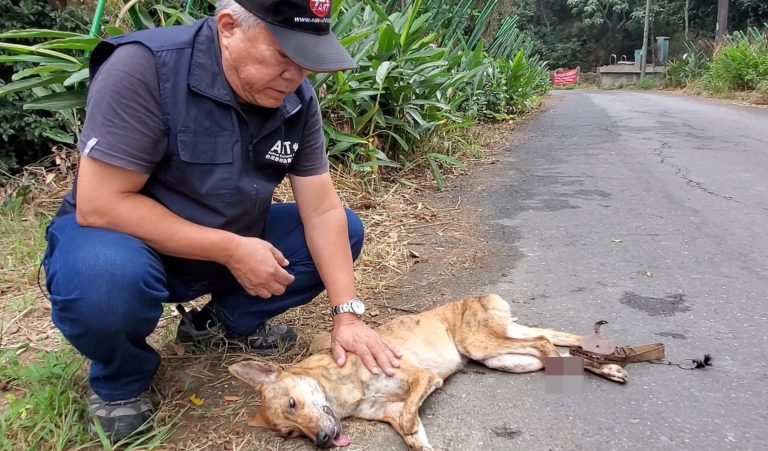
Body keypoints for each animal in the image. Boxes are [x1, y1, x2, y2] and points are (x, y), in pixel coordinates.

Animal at [225, 294, 628, 450]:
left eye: (292, 404)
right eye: (290, 434)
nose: (323, 441)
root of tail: (483, 297)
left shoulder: (422, 379)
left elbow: (409, 413)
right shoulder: (390, 413)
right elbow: (413, 434)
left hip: (483, 346)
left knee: (546, 343)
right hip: (507, 355)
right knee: (562, 345)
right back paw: (608, 366)